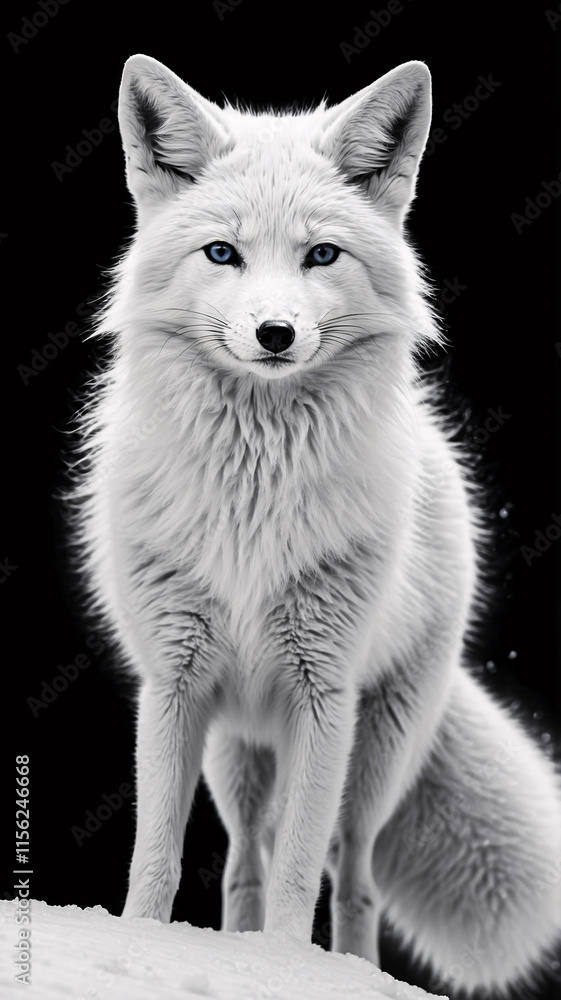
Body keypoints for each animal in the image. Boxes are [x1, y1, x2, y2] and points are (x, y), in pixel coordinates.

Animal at [76, 54, 561, 995]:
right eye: (221, 253)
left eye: (320, 255)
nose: (275, 332)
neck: (252, 494)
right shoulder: (173, 681)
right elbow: (155, 860)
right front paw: (143, 949)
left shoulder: (321, 691)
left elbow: (304, 875)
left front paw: (280, 970)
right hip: (236, 756)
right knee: (242, 864)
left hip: (374, 756)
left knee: (353, 876)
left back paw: (346, 968)